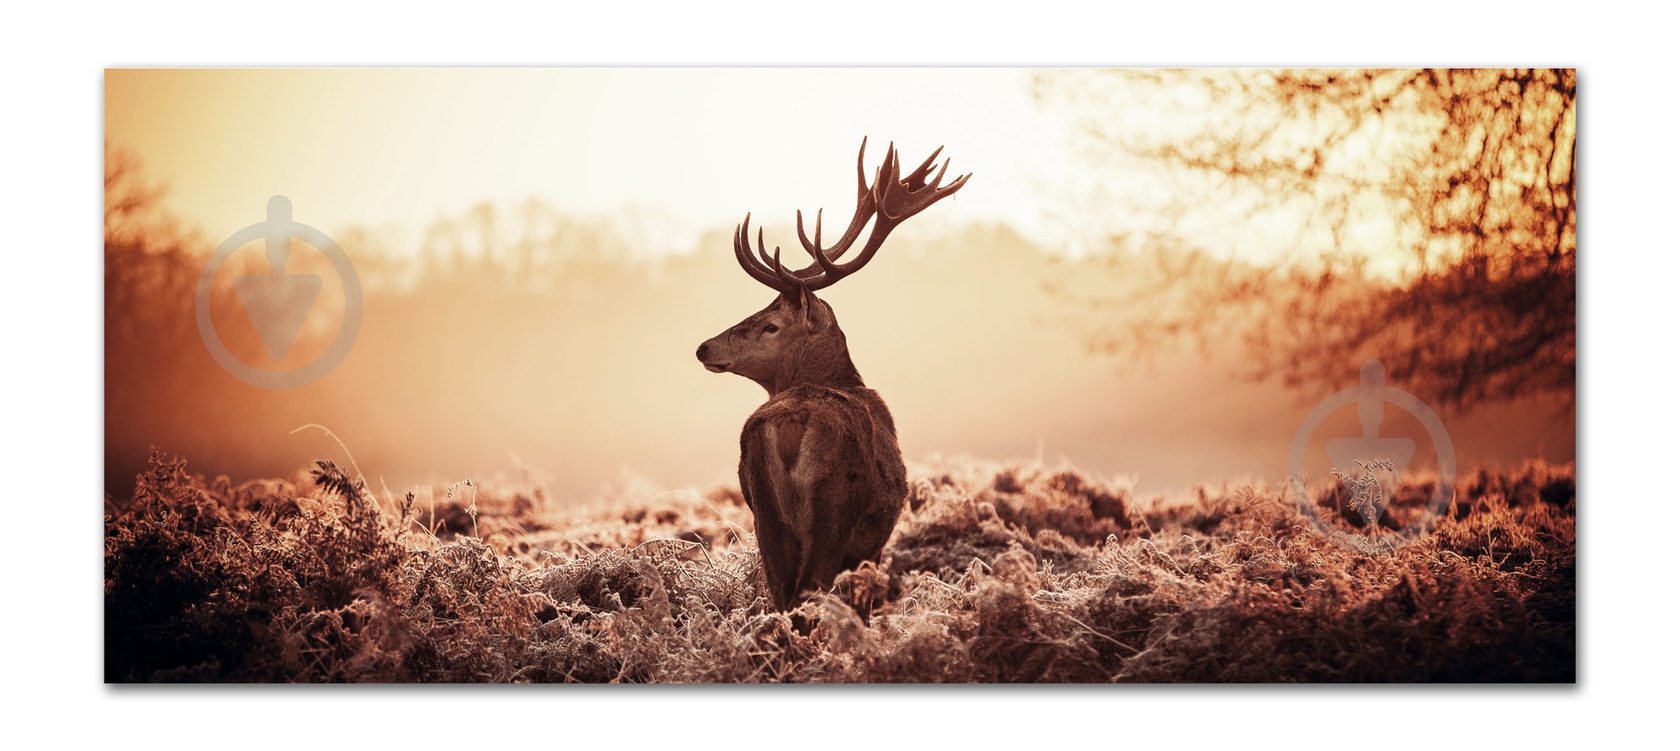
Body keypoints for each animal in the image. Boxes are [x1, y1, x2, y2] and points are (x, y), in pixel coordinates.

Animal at [695, 138, 970, 612]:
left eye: (770, 324)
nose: (704, 347)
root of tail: (790, 425)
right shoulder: (872, 543)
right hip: (833, 508)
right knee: (809, 591)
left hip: (763, 512)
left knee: (782, 594)